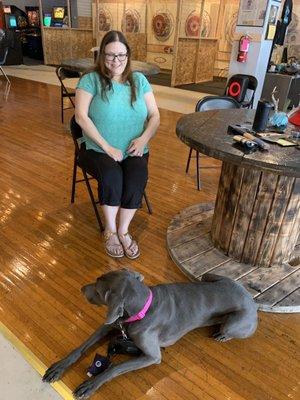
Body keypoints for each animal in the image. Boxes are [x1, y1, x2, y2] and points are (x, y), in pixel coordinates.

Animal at [42, 268, 258, 396]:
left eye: (97, 289)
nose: (81, 288)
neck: (142, 309)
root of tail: (251, 299)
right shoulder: (110, 325)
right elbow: (81, 347)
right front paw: (59, 367)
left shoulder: (152, 356)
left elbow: (114, 368)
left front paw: (90, 385)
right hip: (208, 277)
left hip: (232, 322)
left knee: (227, 329)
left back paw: (222, 335)